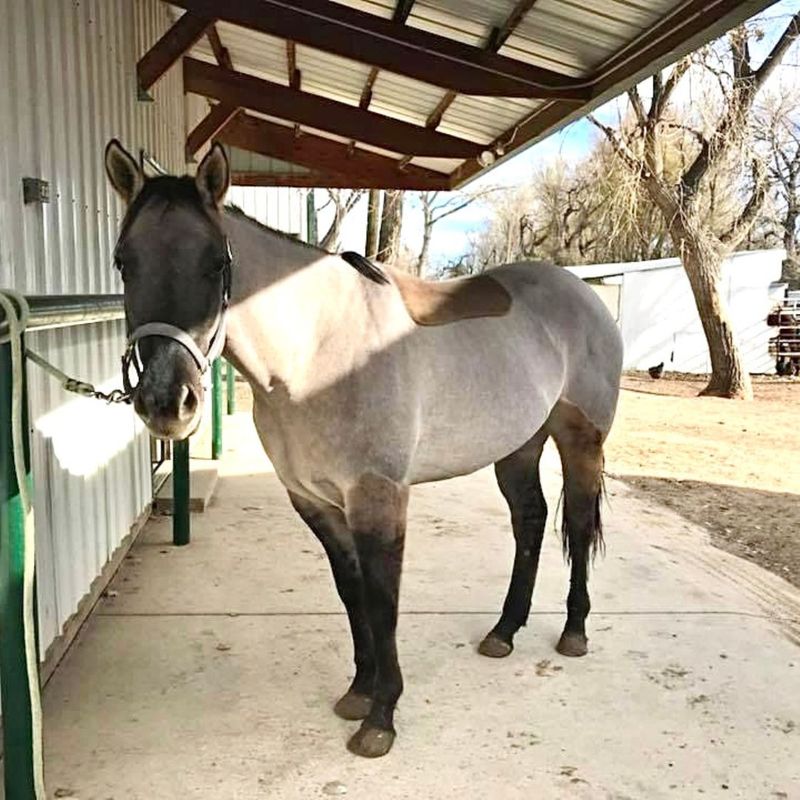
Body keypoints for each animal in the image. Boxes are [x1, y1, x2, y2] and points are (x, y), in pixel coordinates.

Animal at [103, 141, 620, 760]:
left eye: (217, 264)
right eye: (124, 261)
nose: (166, 400)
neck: (316, 354)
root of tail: (583, 295)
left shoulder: (378, 498)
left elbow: (382, 600)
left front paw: (381, 718)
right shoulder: (315, 501)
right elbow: (352, 594)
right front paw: (359, 691)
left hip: (580, 441)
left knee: (578, 523)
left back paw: (573, 632)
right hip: (518, 446)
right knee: (531, 520)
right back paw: (503, 631)